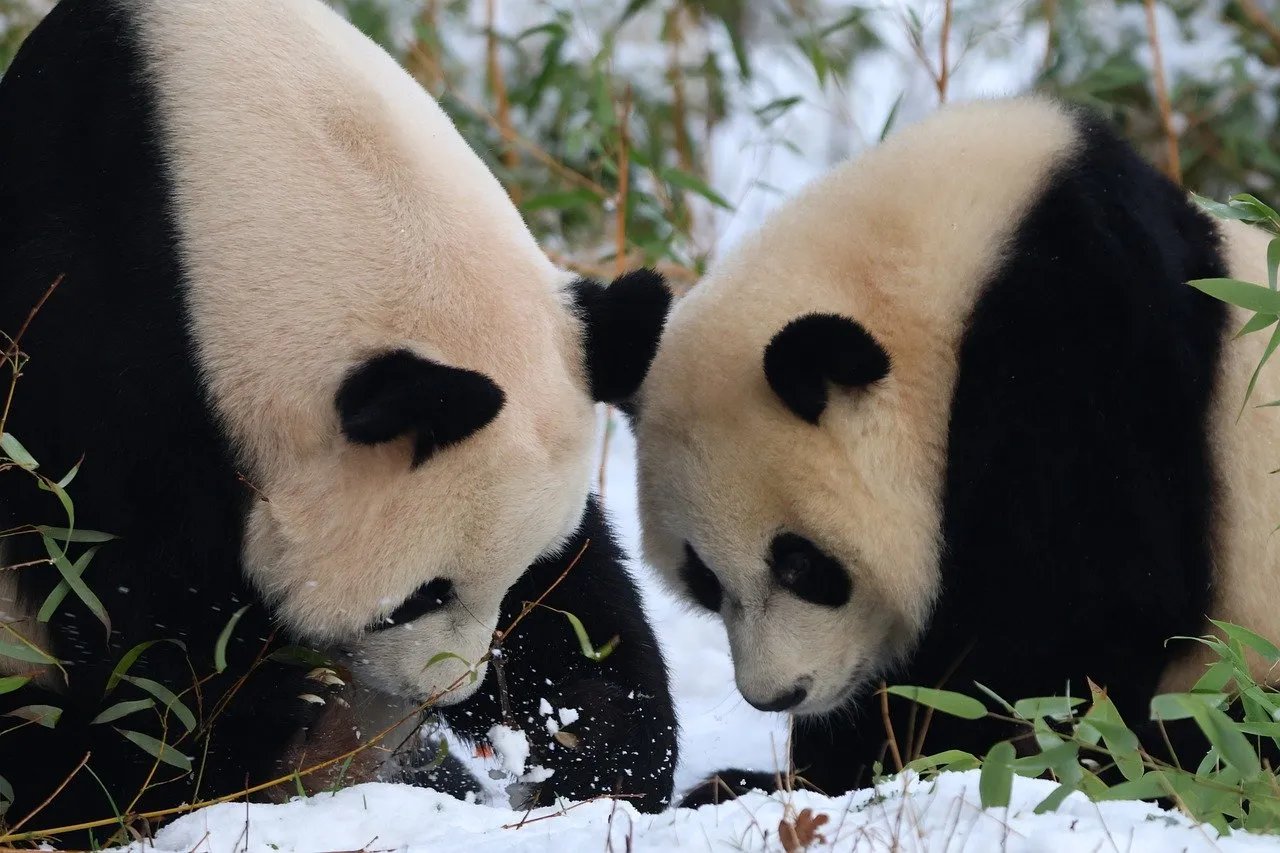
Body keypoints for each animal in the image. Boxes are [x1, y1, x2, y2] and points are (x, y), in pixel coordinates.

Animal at [0, 0, 676, 843]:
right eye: (421, 595)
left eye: (521, 574)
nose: (453, 694)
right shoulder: (94, 334)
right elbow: (127, 598)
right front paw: (245, 729)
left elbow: (586, 593)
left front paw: (598, 752)